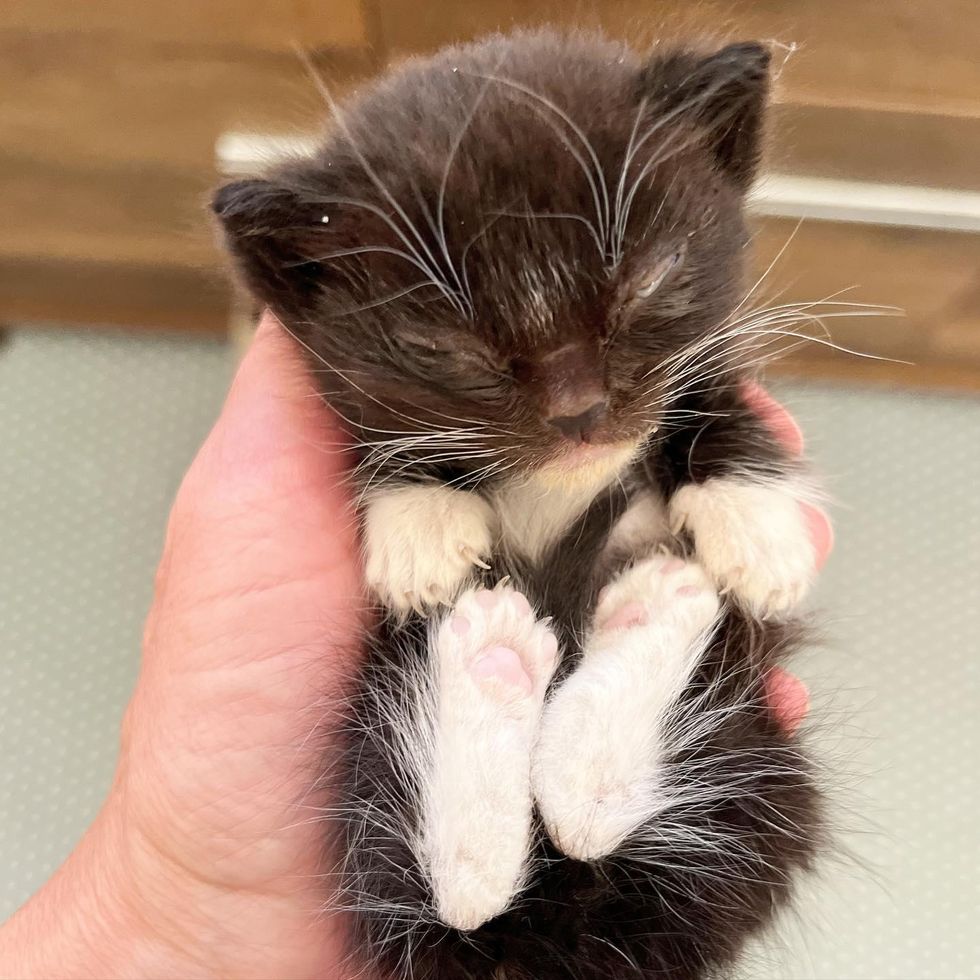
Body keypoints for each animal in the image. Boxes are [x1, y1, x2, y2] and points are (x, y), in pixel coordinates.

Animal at [216, 30, 828, 980]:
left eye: (650, 278)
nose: (581, 412)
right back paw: (498, 662)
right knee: (466, 888)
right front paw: (420, 519)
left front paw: (758, 526)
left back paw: (638, 630)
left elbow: (712, 395)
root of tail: (550, 952)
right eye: (447, 346)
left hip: (764, 762)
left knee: (589, 832)